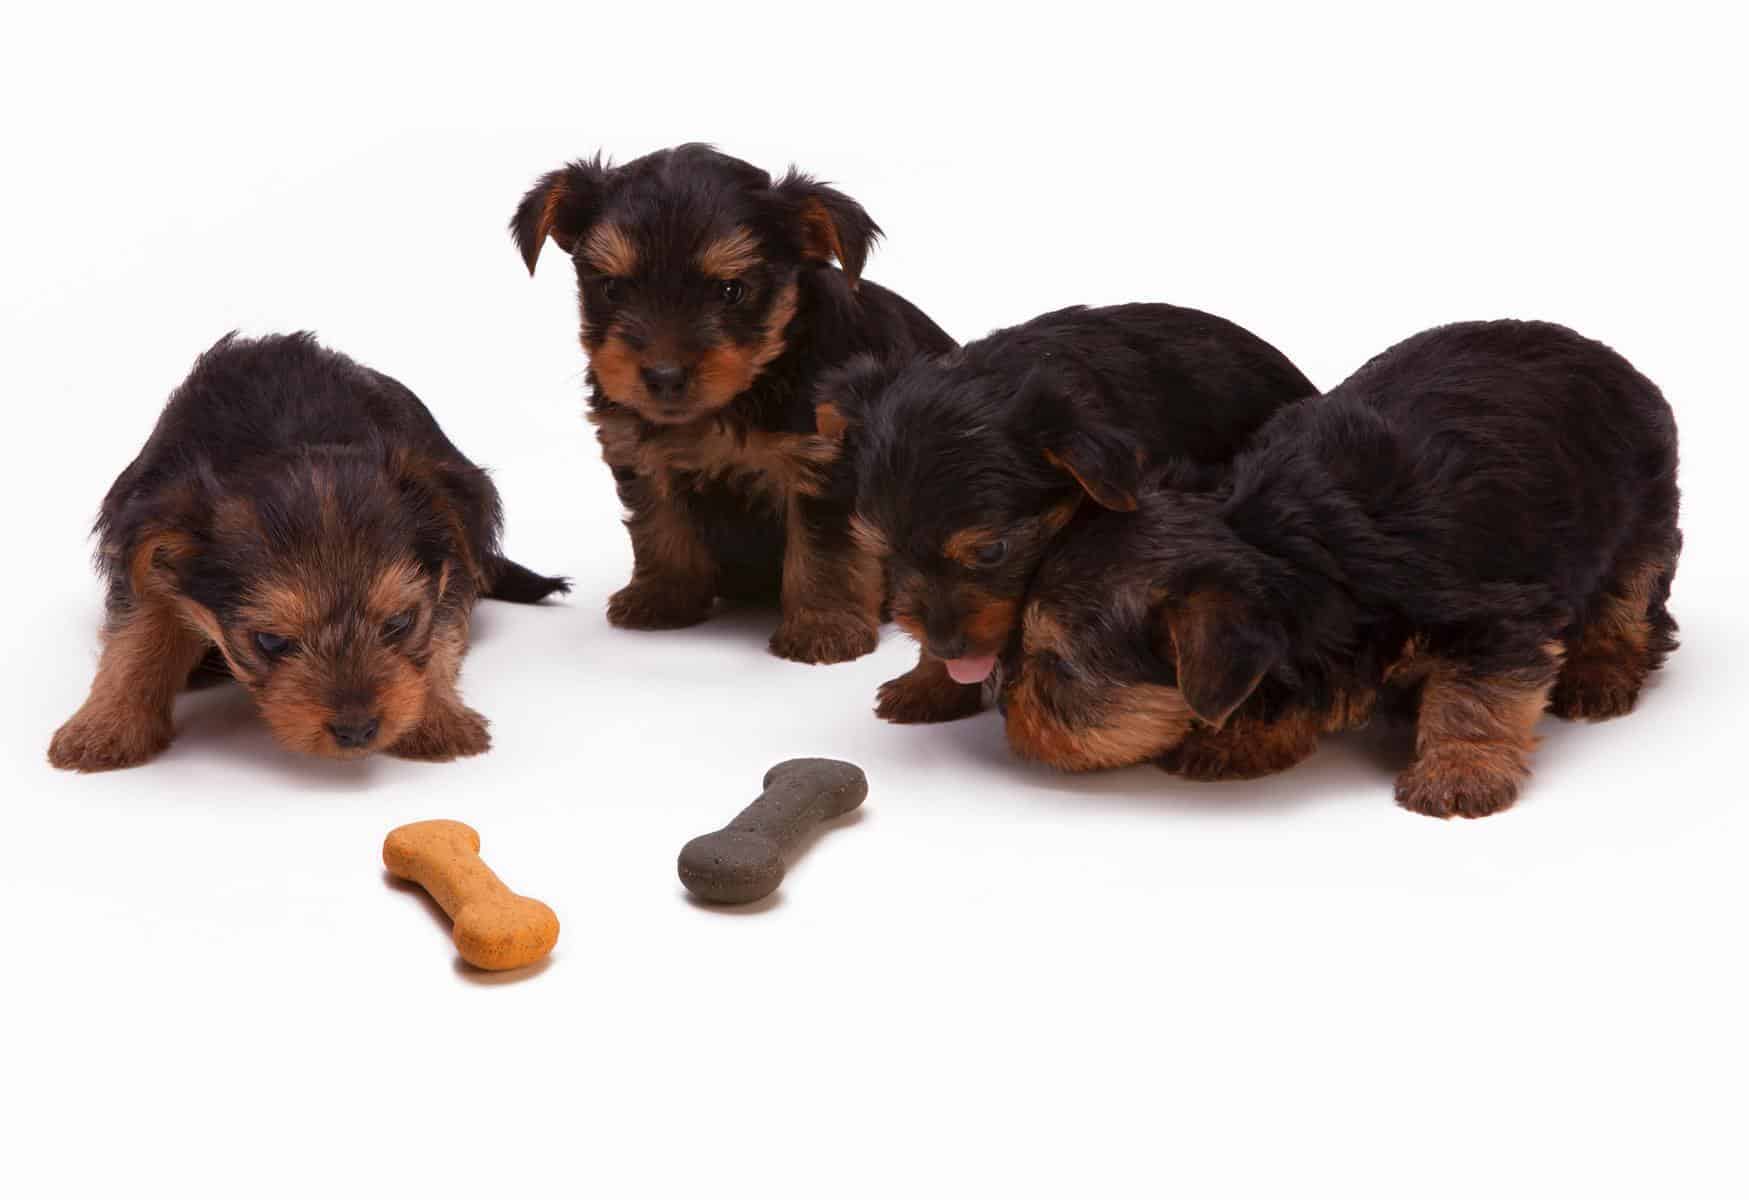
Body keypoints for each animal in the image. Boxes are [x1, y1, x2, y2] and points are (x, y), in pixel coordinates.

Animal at [47, 334, 566, 776]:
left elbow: (441, 634)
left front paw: (437, 717)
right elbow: (135, 636)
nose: (357, 731)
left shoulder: (451, 559)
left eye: (399, 622)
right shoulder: (147, 546)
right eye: (271, 642)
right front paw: (107, 727)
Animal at [510, 146, 958, 668]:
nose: (664, 376)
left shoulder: (826, 463)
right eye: (613, 289)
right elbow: (658, 525)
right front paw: (663, 596)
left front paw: (823, 626)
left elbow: (826, 549)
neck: (743, 392)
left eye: (731, 291)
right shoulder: (639, 450)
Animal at [1014, 320, 1679, 822]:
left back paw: (1600, 673)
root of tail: (1603, 351)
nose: (1005, 702)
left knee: (1629, 599)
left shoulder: (1496, 617)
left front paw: (1459, 772)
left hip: (1642, 511)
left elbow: (1476, 694)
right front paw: (1240, 739)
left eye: (1056, 668)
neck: (1277, 540)